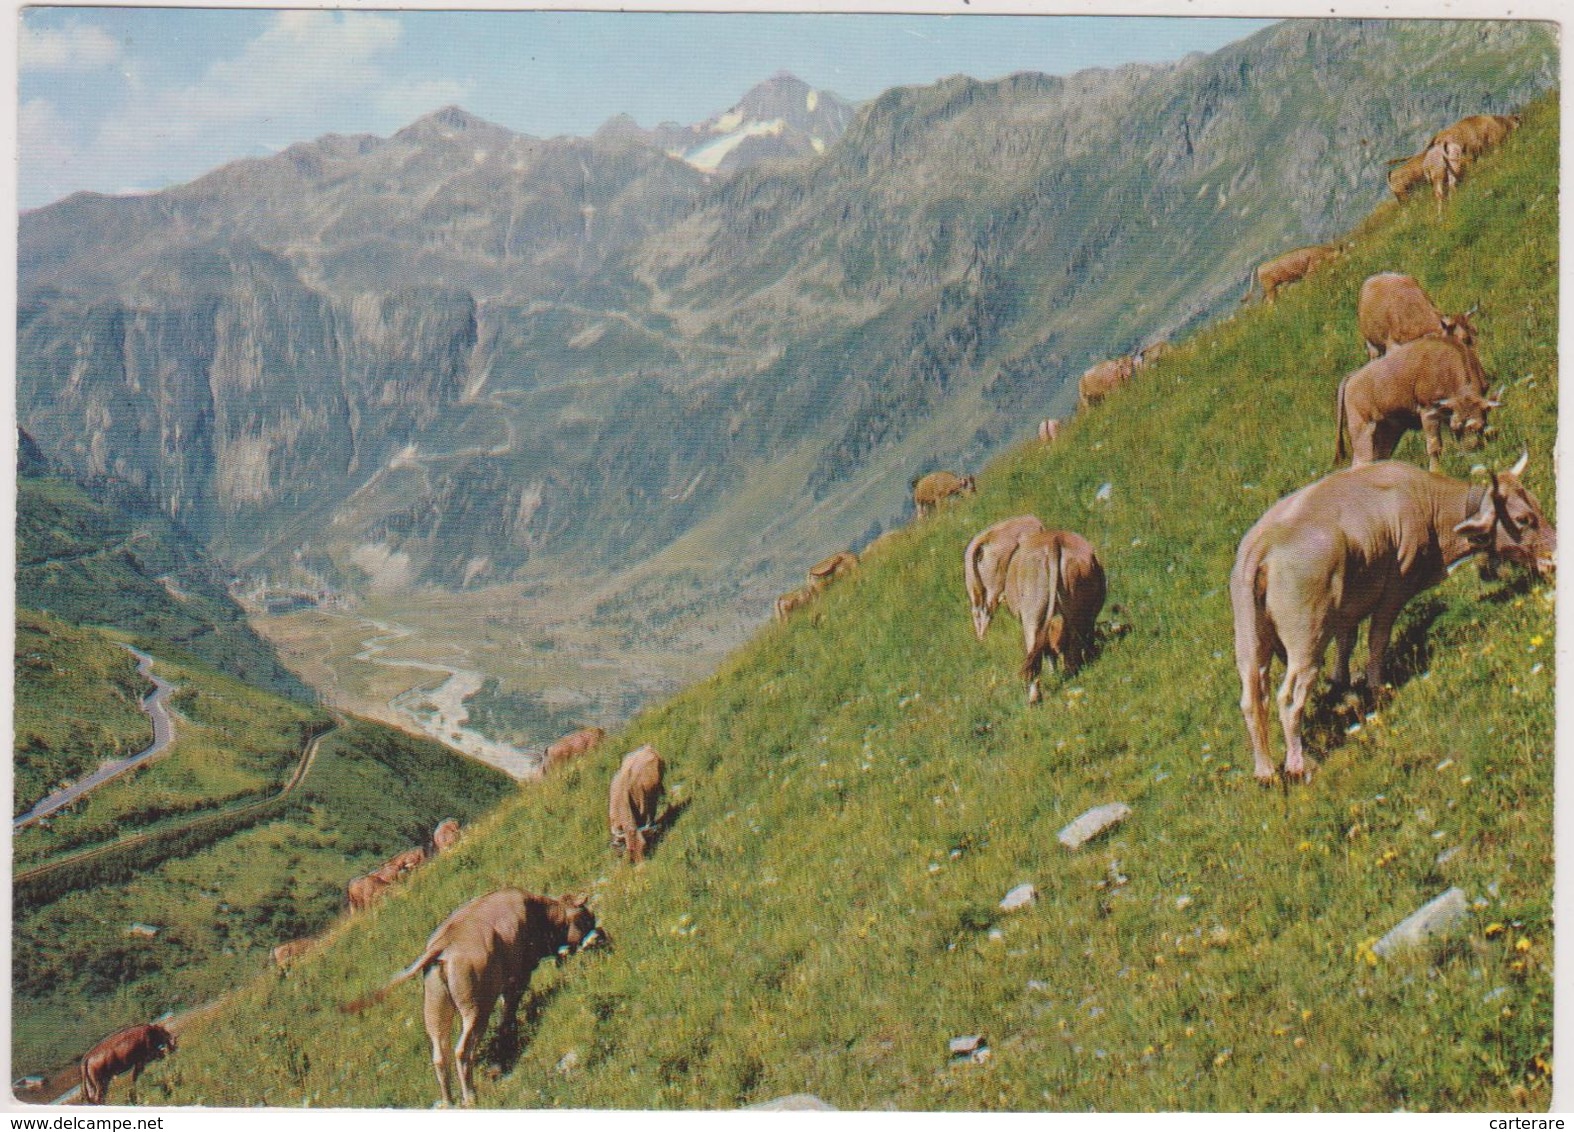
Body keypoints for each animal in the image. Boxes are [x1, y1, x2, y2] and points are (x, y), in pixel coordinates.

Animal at [347, 887, 604, 1108]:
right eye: (585, 917)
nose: (598, 935)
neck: (541, 913)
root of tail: (445, 943)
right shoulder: (519, 975)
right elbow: (509, 1009)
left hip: (435, 1007)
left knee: (439, 1054)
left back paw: (449, 1101)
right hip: (476, 1007)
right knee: (462, 1050)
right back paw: (470, 1096)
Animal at [1227, 456, 1548, 784]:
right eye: (1524, 519)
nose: (1554, 558)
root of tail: (1264, 543)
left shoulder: (1348, 606)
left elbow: (1347, 641)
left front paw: (1341, 682)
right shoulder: (1396, 587)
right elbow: (1377, 640)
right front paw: (1377, 688)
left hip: (1249, 641)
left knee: (1252, 699)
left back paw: (1265, 771)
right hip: (1307, 639)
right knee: (1289, 698)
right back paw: (1298, 764)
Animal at [1341, 338, 1498, 475]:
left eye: (1479, 427)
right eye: (1457, 428)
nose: (1472, 450)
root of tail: (1352, 377)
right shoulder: (1428, 411)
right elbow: (1434, 446)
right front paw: (1436, 472)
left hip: (1388, 429)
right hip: (1362, 429)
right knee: (1361, 461)